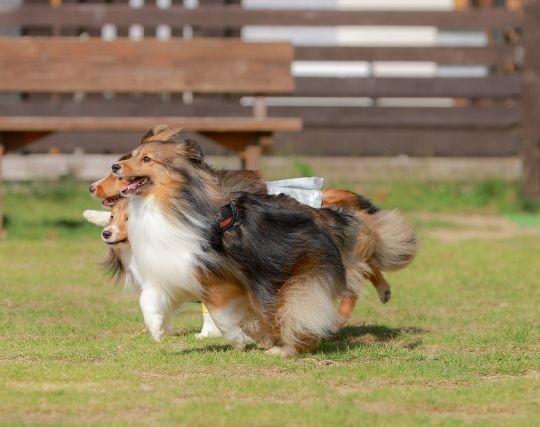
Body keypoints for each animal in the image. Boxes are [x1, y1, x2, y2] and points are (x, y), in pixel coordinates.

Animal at [107, 138, 416, 358]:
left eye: (146, 159)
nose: (114, 166)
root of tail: (316, 214)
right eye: (131, 155)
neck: (169, 205)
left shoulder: (216, 276)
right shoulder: (173, 270)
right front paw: (158, 330)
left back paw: (287, 348)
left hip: (285, 279)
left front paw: (238, 340)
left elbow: (219, 314)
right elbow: (148, 300)